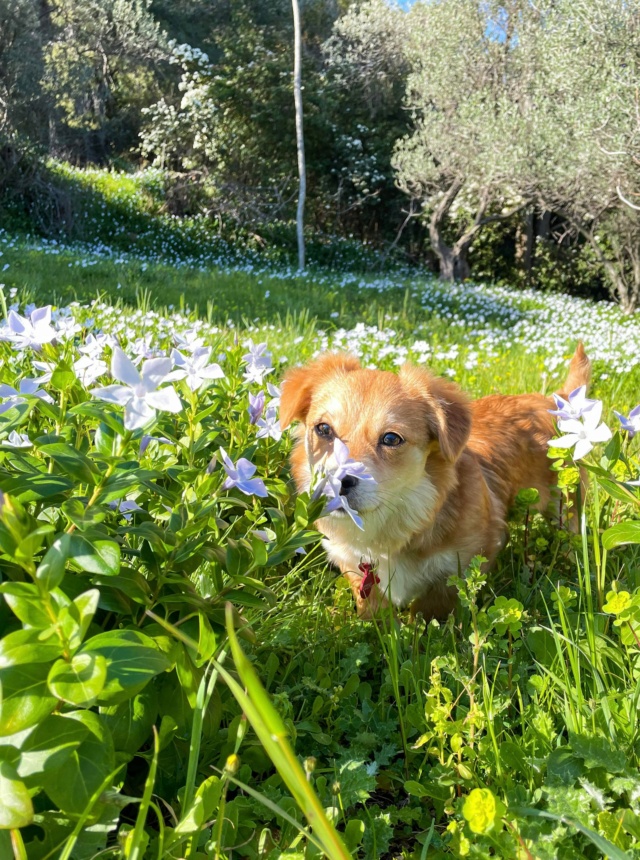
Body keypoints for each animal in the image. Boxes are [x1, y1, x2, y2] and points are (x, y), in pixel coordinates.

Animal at [280, 342, 592, 620]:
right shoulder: (352, 564)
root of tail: (555, 400)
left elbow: (431, 609)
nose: (338, 482)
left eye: (391, 438)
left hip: (566, 508)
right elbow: (372, 607)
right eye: (323, 429)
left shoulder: (464, 562)